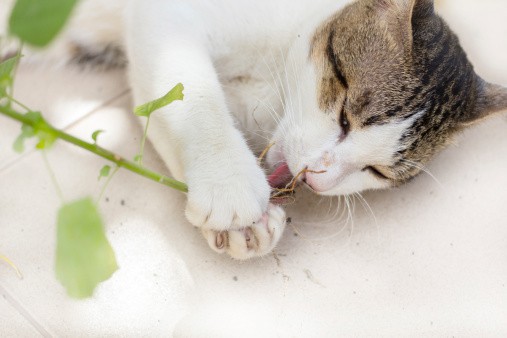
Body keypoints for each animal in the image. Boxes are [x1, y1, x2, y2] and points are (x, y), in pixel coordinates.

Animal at [17, 0, 507, 258]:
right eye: (345, 113)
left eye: (378, 172)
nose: (319, 175)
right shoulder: (166, 15)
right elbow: (190, 90)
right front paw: (229, 186)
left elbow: (159, 108)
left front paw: (243, 224)